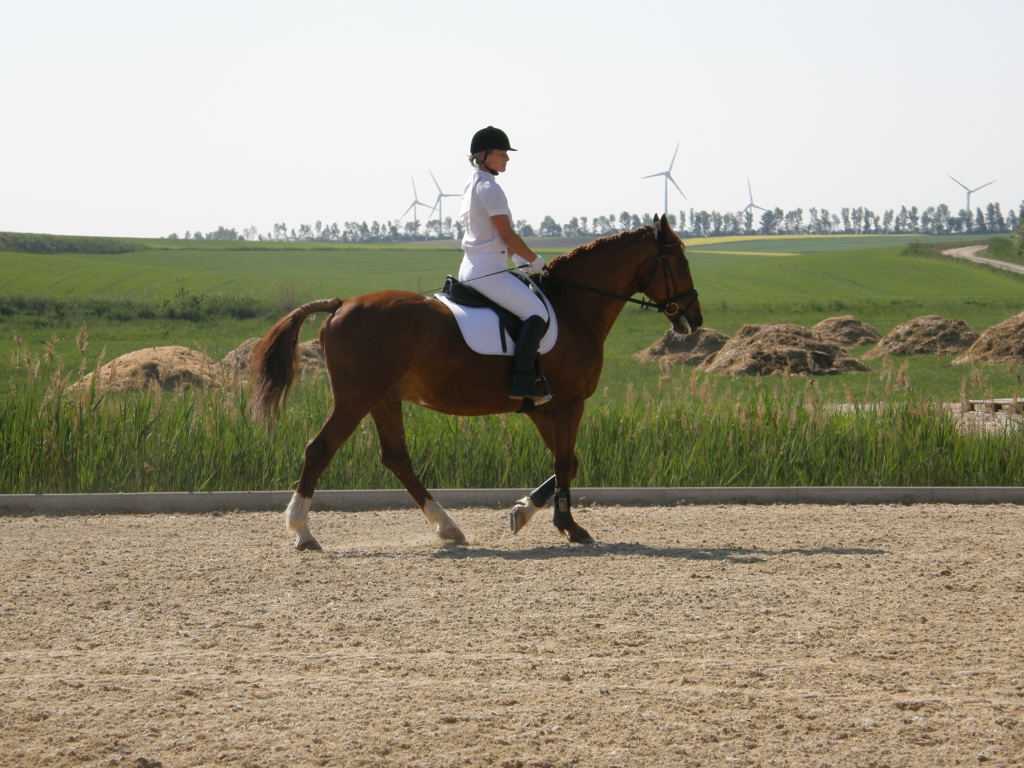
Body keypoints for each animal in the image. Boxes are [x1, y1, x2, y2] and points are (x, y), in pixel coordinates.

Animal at [250, 214, 702, 550]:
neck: (574, 306)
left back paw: (448, 527)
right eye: (679, 262)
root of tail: (341, 305)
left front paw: (523, 511)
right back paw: (303, 533)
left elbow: (567, 462)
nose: (694, 319)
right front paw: (569, 526)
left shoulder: (544, 408)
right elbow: (565, 462)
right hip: (356, 398)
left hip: (383, 398)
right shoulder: (568, 402)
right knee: (320, 449)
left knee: (396, 458)